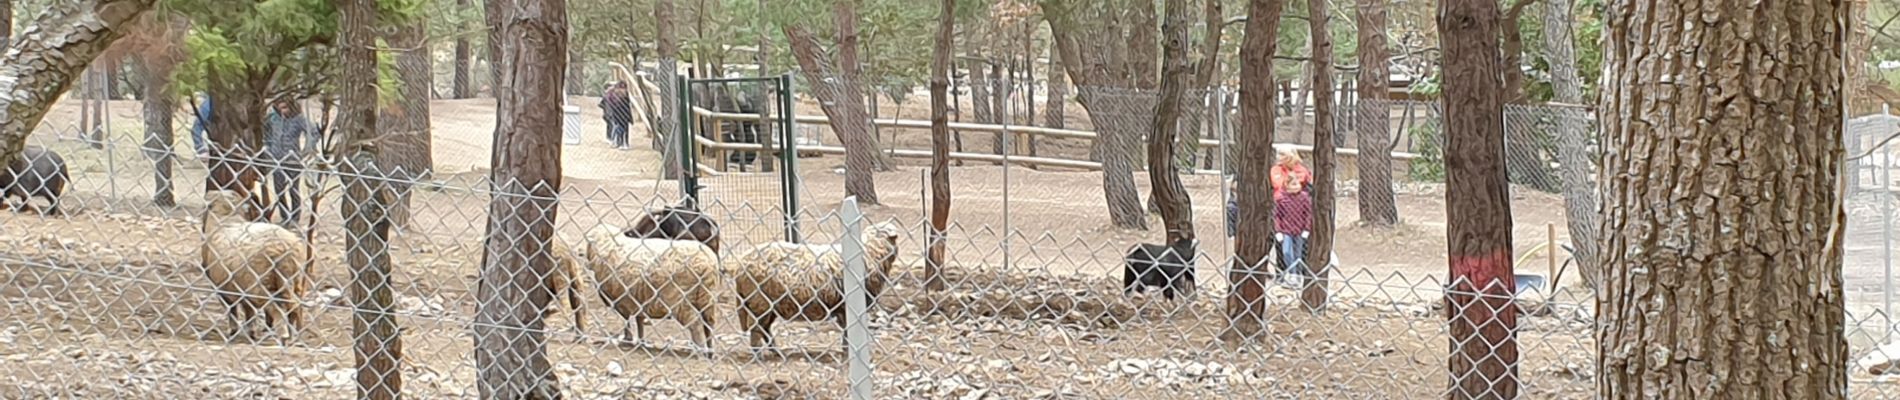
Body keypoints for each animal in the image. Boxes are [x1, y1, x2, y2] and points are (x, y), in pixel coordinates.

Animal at [200, 189, 311, 341]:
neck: (227, 216)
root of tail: (284, 250)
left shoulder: (222, 288)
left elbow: (234, 309)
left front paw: (236, 331)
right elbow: (248, 309)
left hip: (261, 285)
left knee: (277, 307)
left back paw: (284, 335)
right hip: (295, 279)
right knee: (295, 305)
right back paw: (297, 333)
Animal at [577, 223, 718, 350]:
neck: (606, 243)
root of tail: (707, 263)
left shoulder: (621, 299)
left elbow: (627, 320)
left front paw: (627, 339)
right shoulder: (639, 297)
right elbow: (639, 319)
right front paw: (641, 341)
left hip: (680, 300)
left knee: (696, 325)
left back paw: (700, 349)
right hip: (707, 298)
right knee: (709, 324)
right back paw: (710, 351)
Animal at [729, 219, 900, 350]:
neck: (871, 251)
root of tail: (740, 266)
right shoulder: (847, 305)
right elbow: (847, 332)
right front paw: (846, 354)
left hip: (769, 305)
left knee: (764, 328)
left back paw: (775, 351)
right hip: (760, 302)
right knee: (756, 329)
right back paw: (759, 353)